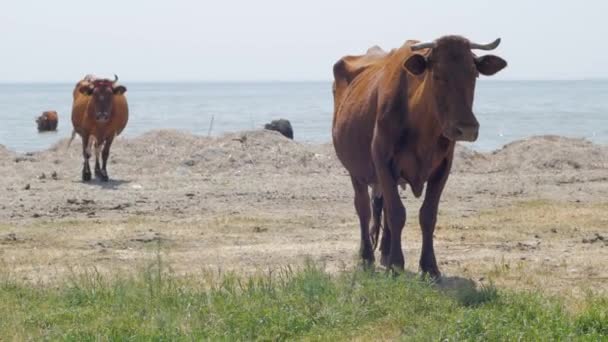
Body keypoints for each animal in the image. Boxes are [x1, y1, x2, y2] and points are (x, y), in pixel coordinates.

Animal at [332, 36, 508, 280]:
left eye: (474, 74)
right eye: (437, 75)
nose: (467, 129)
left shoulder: (442, 167)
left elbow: (427, 215)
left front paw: (429, 267)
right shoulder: (382, 162)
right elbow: (397, 213)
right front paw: (397, 264)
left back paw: (385, 252)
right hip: (355, 170)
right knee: (364, 208)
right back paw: (367, 256)